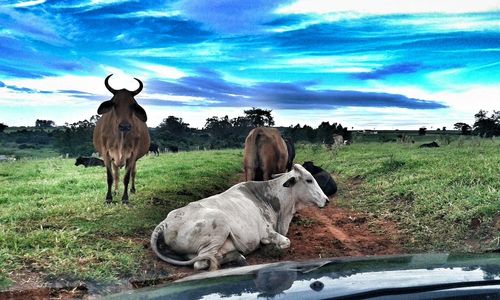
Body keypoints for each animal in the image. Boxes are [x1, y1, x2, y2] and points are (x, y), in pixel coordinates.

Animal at [92, 74, 150, 204]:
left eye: (133, 105)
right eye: (114, 103)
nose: (125, 126)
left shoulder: (133, 154)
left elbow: (127, 177)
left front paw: (125, 198)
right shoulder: (106, 153)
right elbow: (110, 177)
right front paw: (108, 198)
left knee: (133, 173)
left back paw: (132, 189)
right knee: (116, 174)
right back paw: (115, 191)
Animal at [150, 164, 328, 272]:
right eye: (309, 180)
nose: (326, 200)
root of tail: (166, 222)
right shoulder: (267, 232)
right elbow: (285, 242)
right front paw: (268, 246)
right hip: (219, 225)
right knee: (202, 262)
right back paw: (238, 257)